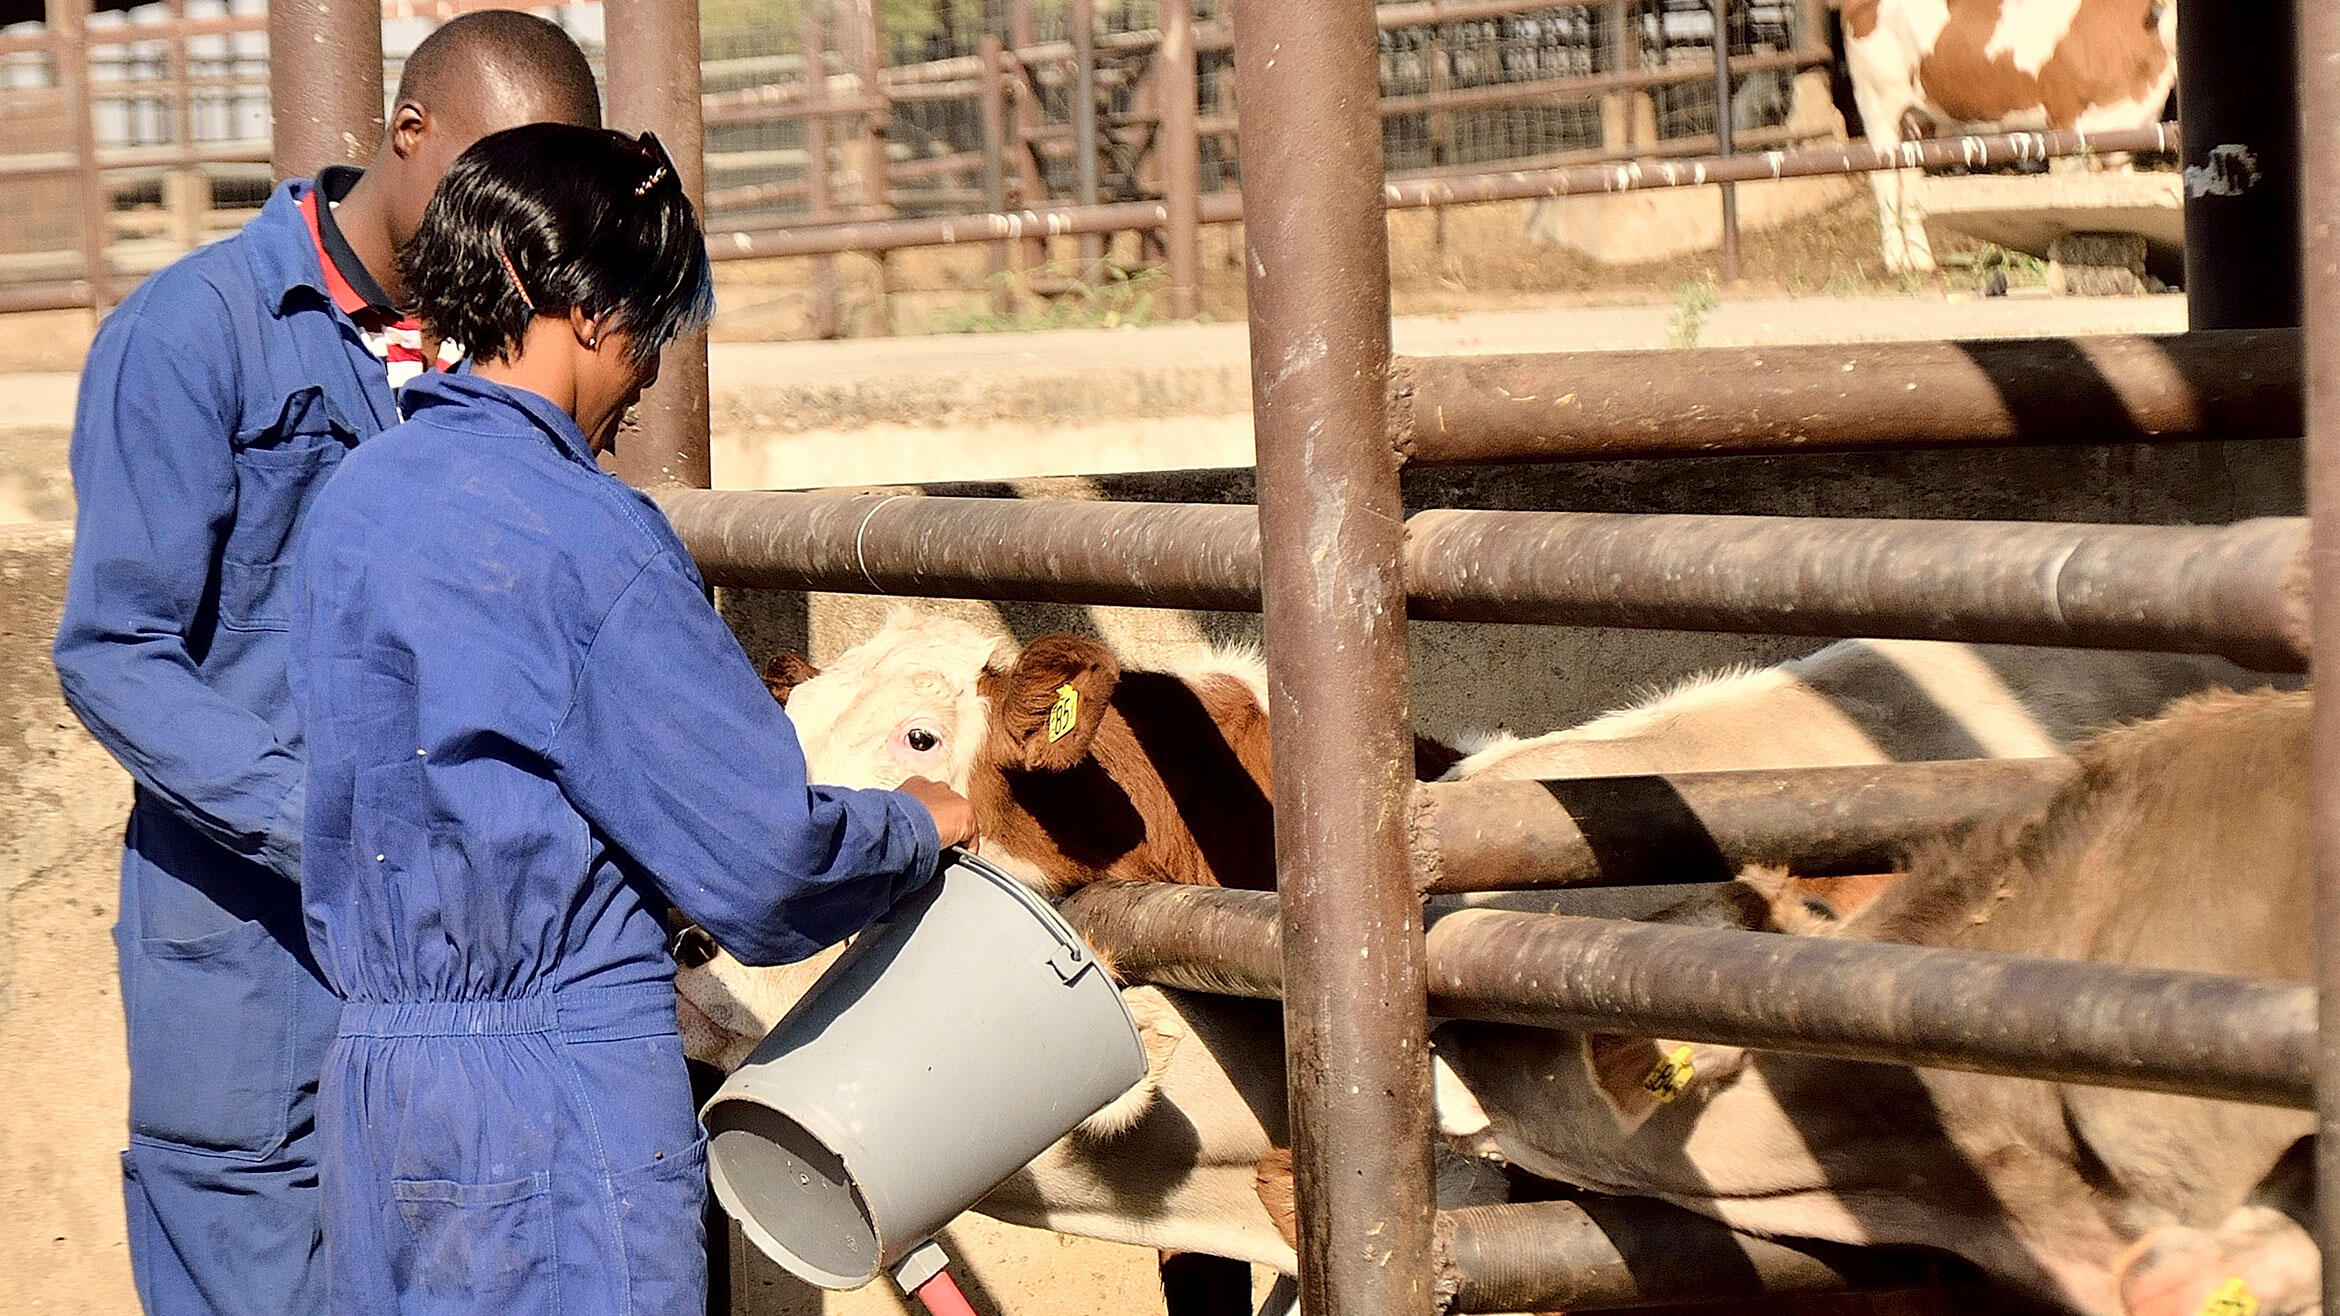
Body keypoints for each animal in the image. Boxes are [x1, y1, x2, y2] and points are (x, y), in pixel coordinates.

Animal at [1834, 0, 2180, 270]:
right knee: (1885, 179)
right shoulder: (2066, 128)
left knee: (1911, 176)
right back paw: (1895, 262)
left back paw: (1921, 261)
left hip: (1921, 119)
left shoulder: (2124, 134)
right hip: (1878, 104)